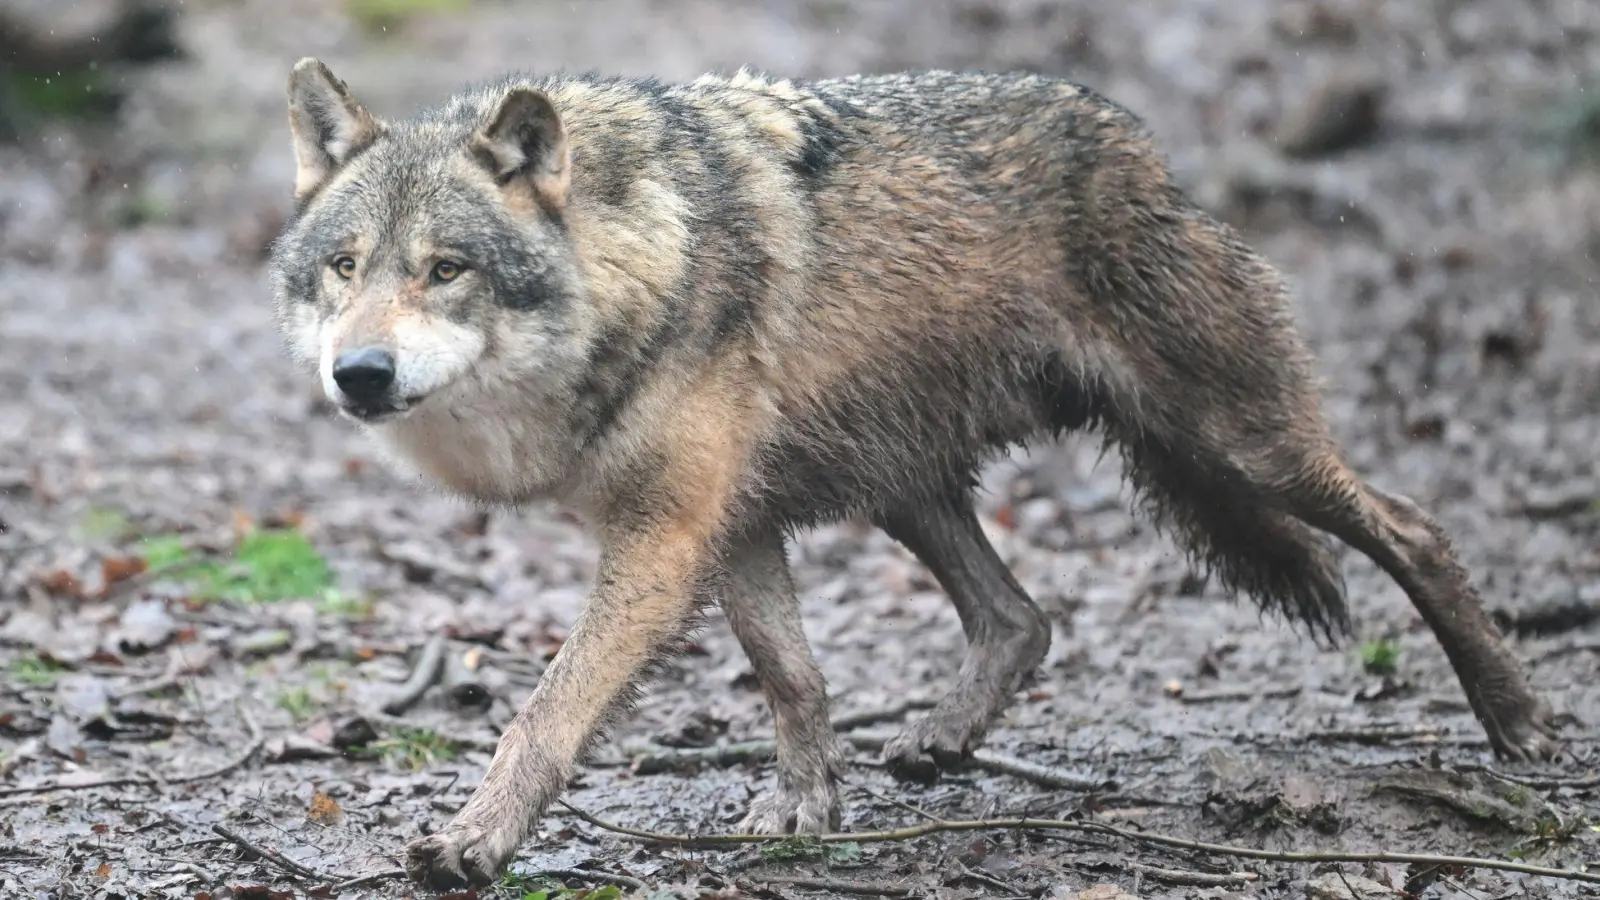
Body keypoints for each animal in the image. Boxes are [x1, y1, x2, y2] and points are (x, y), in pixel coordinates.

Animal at [268, 57, 1561, 889]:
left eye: (445, 269)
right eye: (344, 266)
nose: (360, 374)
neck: (635, 264)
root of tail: (1144, 148)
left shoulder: (665, 537)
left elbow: (543, 714)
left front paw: (473, 843)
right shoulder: (731, 525)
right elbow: (792, 676)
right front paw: (804, 810)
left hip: (1238, 444)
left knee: (1414, 526)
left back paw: (1518, 724)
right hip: (904, 484)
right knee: (1022, 617)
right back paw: (940, 740)